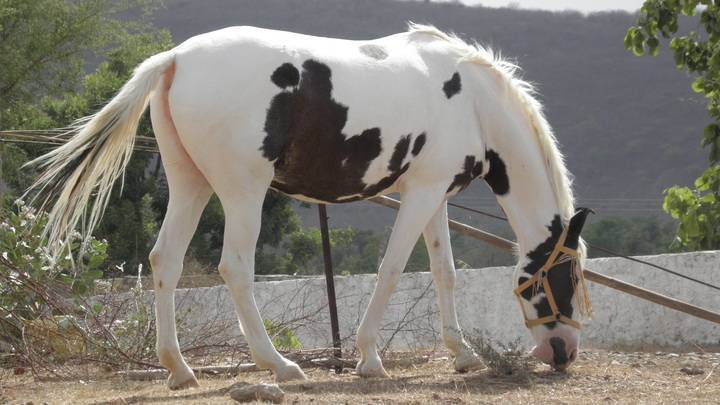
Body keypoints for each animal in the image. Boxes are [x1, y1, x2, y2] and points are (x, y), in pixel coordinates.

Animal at [26, 22, 592, 388]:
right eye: (567, 275)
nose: (563, 352)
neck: (472, 101)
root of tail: (177, 58)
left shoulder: (433, 197)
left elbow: (444, 273)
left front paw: (463, 355)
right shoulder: (421, 196)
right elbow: (392, 268)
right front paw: (368, 358)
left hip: (191, 185)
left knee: (165, 261)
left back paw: (179, 369)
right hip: (243, 192)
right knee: (235, 268)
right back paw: (278, 366)